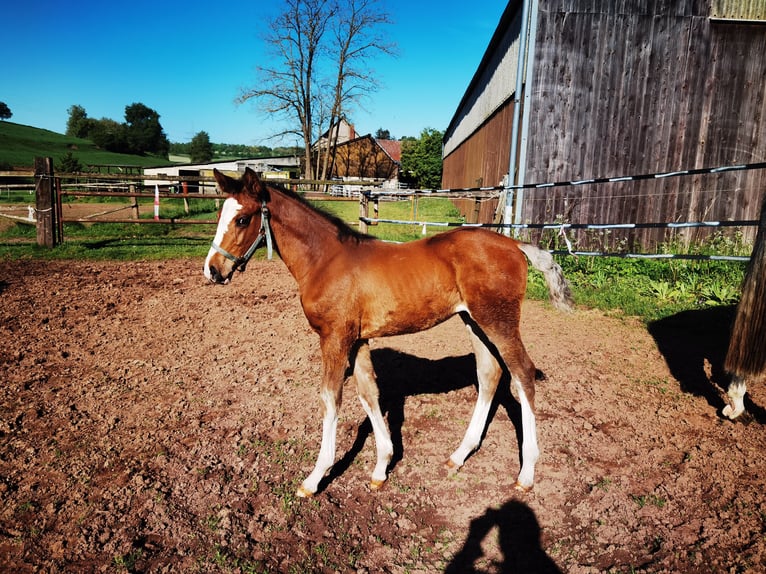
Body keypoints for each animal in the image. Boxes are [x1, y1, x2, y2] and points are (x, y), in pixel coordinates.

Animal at [203, 168, 574, 497]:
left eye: (242, 219)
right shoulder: (358, 339)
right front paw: (381, 468)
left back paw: (526, 474)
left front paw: (314, 479)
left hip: (499, 321)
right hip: (474, 321)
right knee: (489, 374)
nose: (213, 270)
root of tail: (516, 245)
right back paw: (458, 456)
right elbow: (369, 393)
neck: (326, 260)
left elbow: (330, 398)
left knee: (522, 373)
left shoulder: (335, 338)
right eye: (220, 214)